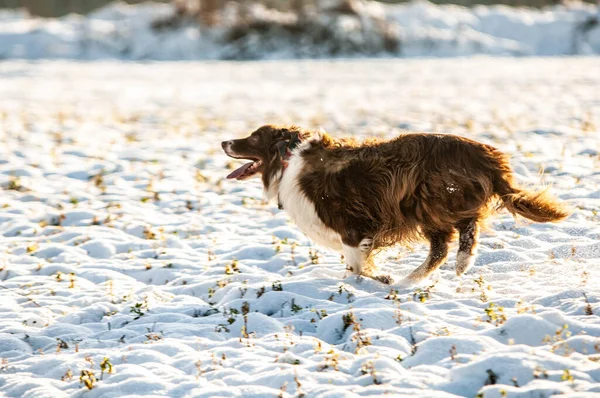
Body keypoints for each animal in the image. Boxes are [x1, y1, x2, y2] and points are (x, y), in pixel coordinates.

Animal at [223, 126, 568, 284]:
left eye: (253, 138)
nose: (225, 142)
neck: (288, 158)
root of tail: (486, 155)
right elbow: (359, 264)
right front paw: (381, 277)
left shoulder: (351, 227)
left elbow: (357, 265)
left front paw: (373, 279)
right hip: (426, 205)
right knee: (441, 247)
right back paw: (411, 279)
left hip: (431, 198)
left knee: (463, 230)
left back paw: (459, 263)